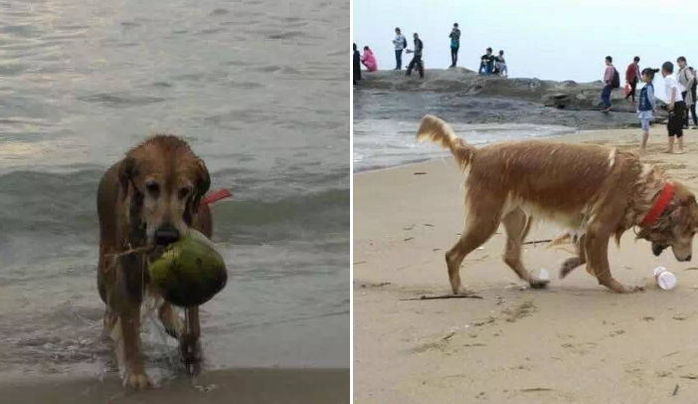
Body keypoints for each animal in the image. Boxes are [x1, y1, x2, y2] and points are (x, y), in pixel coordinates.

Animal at [94, 136, 212, 388]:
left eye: (184, 191)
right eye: (151, 187)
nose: (166, 235)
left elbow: (194, 321)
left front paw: (190, 345)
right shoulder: (129, 274)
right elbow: (129, 325)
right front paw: (136, 373)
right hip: (105, 267)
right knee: (111, 307)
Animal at [416, 113, 696, 294]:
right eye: (692, 231)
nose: (690, 258)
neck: (642, 186)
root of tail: (478, 152)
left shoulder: (586, 226)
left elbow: (584, 255)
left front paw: (567, 266)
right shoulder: (599, 227)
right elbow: (601, 265)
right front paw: (620, 287)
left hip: (518, 218)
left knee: (511, 255)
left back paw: (533, 281)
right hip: (486, 219)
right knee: (453, 254)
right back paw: (459, 289)